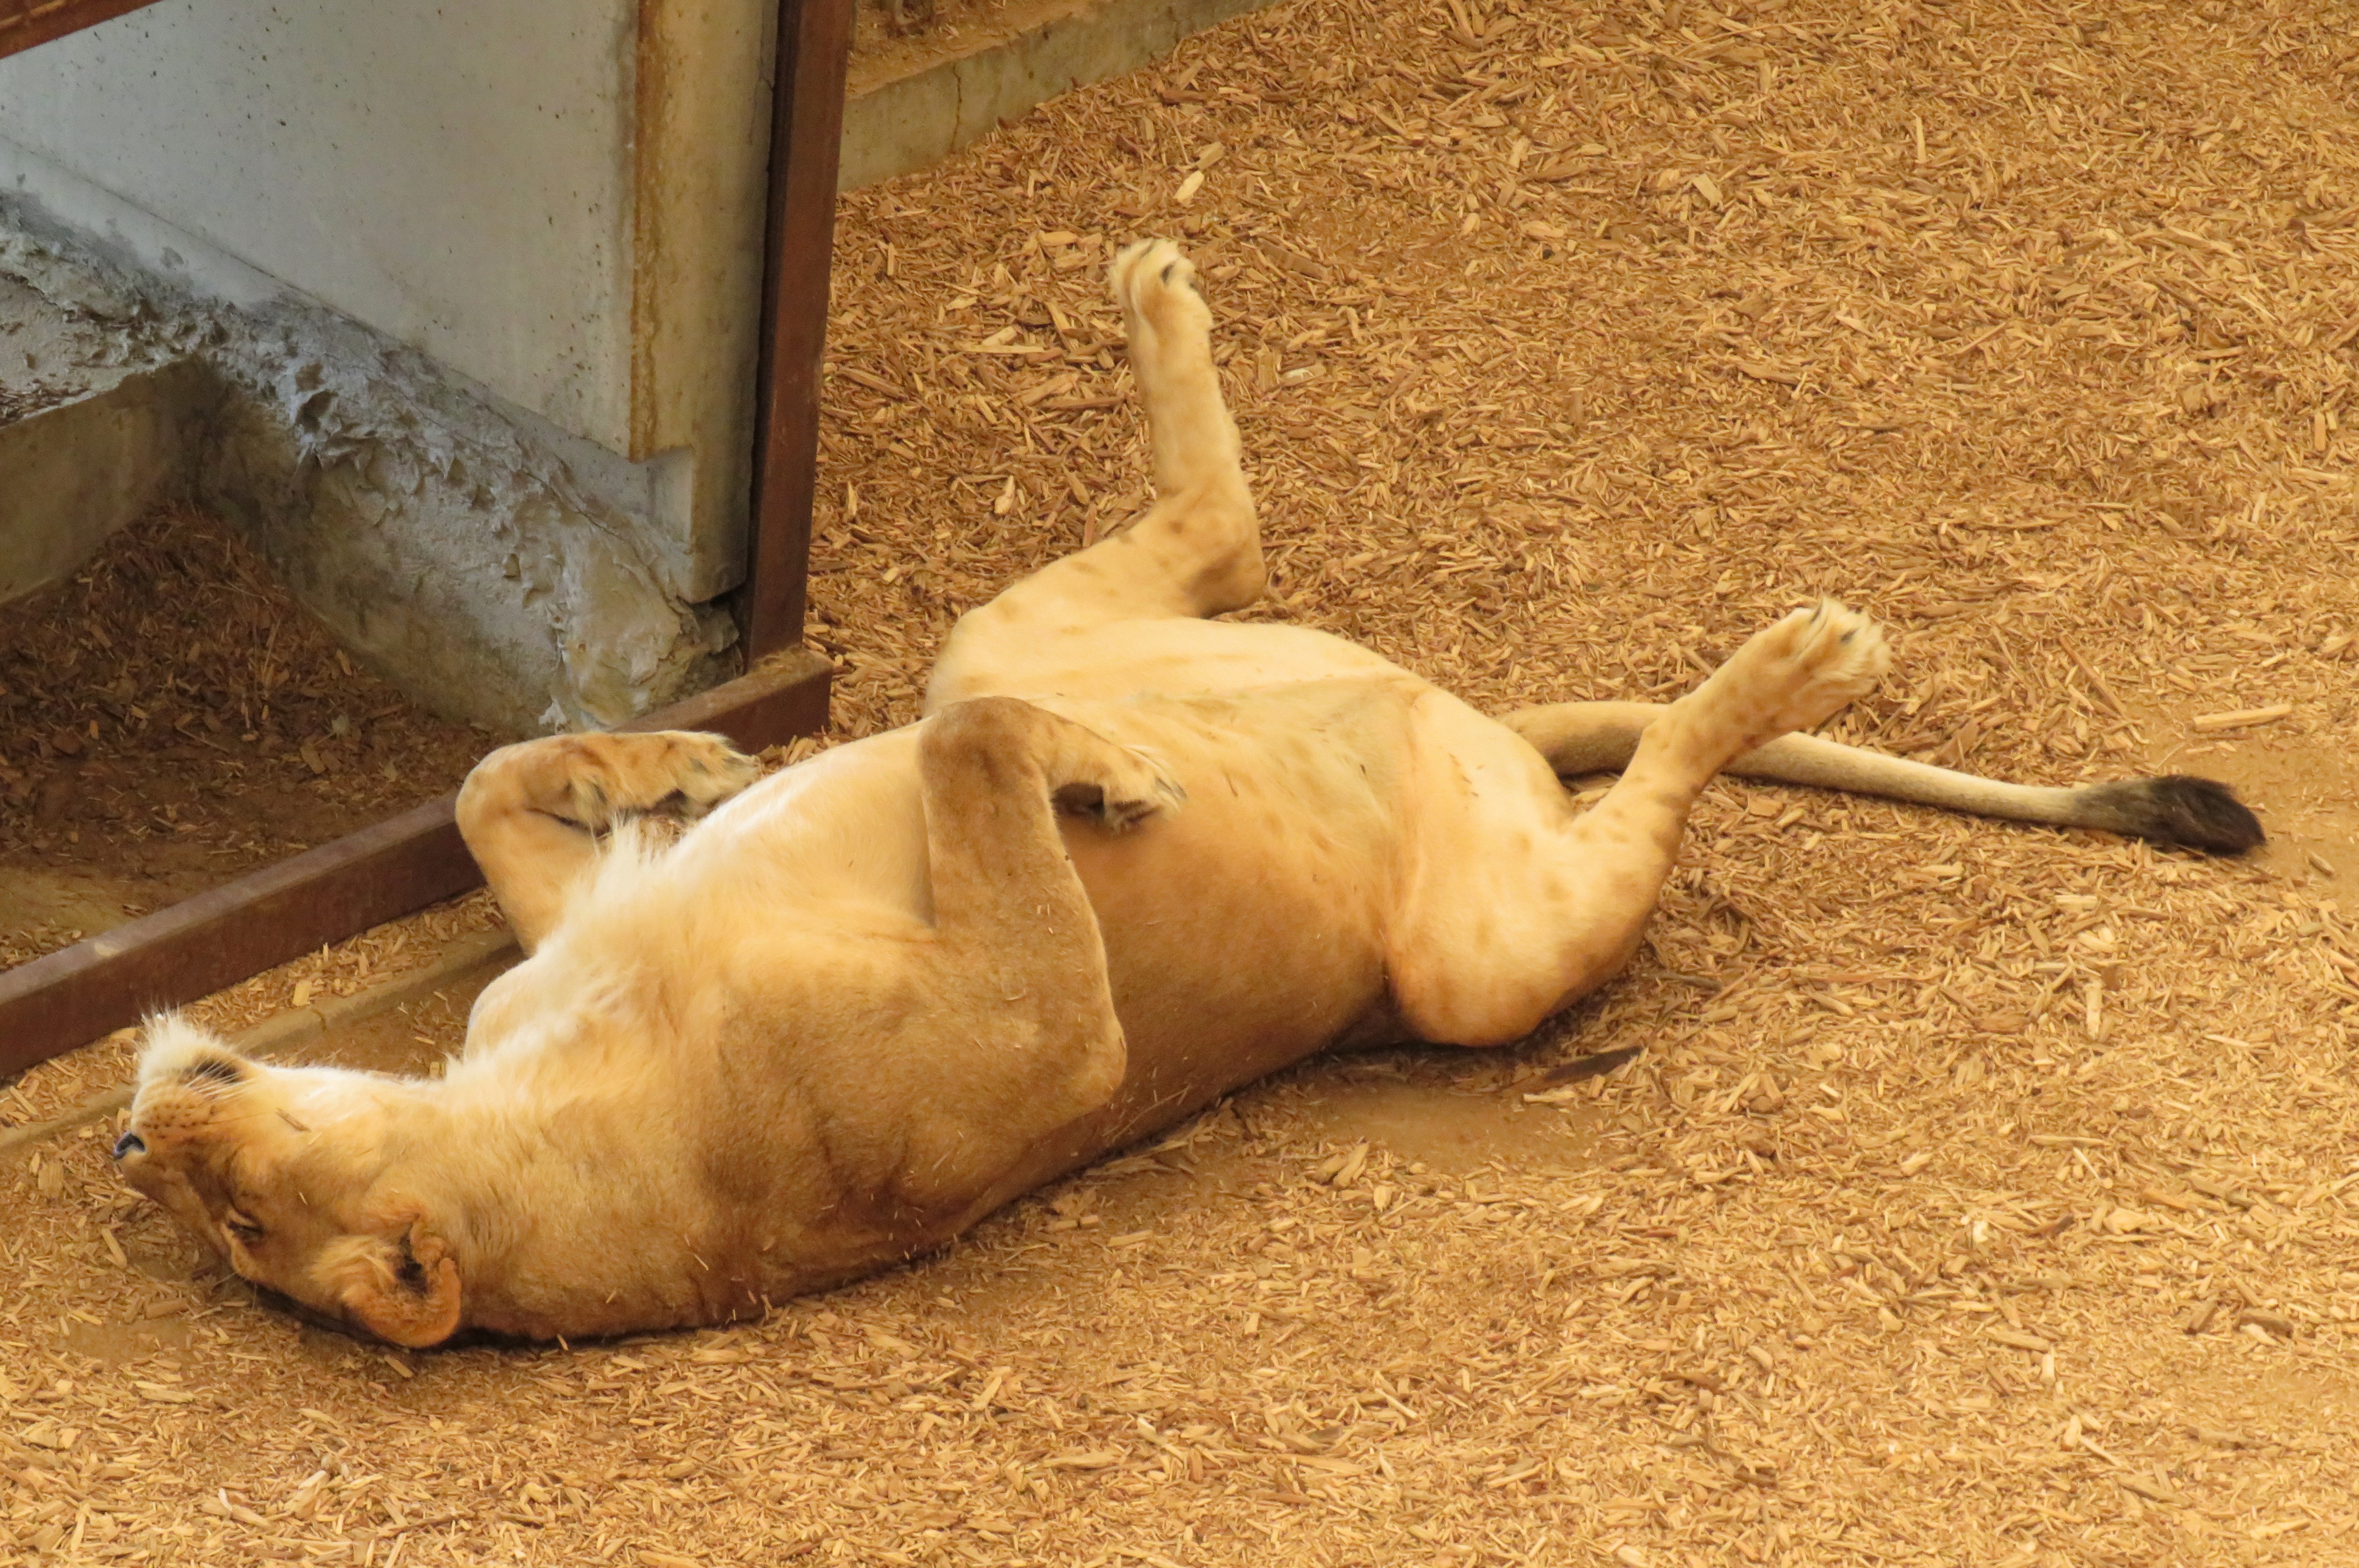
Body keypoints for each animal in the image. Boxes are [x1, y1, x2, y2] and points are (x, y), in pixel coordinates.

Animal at [113, 240, 2259, 1347]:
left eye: (229, 1211)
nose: (140, 1132)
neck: (523, 1112)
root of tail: (1470, 717)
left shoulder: (557, 935)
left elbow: (490, 777)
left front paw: (695, 753)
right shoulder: (1043, 1050)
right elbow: (981, 788)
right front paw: (1101, 784)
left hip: (1020, 616)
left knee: (1163, 570)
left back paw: (1154, 304)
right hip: (1471, 967)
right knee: (1642, 779)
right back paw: (1803, 657)